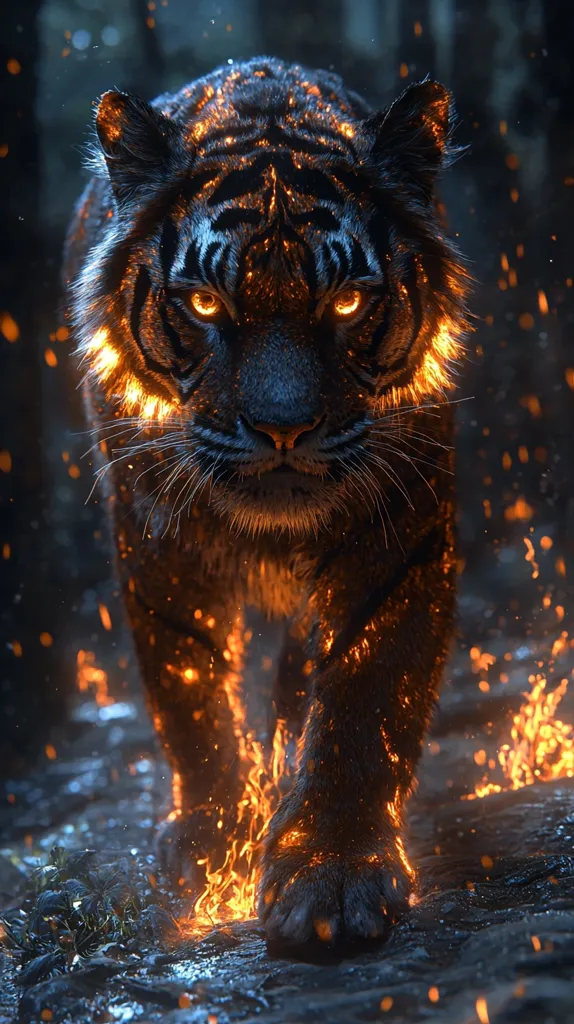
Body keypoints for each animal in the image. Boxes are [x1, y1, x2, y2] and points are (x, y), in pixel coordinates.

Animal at [64, 57, 469, 947]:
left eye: (347, 302)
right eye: (207, 305)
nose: (284, 427)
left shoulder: (399, 525)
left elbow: (365, 690)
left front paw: (333, 874)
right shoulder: (154, 534)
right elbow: (189, 695)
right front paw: (215, 837)